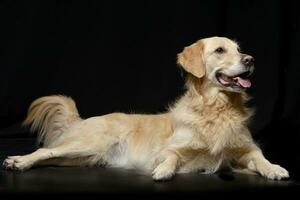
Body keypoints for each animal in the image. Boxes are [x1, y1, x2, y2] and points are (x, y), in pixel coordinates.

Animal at [1, 36, 288, 181]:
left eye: (240, 49)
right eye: (220, 50)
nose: (250, 59)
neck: (216, 108)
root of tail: (81, 119)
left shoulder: (246, 150)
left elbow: (260, 158)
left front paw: (274, 168)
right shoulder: (171, 149)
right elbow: (170, 157)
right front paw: (163, 171)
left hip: (83, 156)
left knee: (51, 156)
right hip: (88, 143)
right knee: (45, 150)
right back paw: (18, 161)